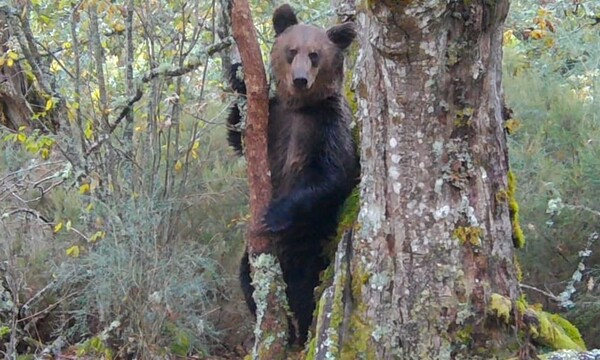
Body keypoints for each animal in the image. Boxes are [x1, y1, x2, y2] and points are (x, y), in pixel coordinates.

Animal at [225, 3, 356, 346]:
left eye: (315, 55)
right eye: (291, 50)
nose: (299, 79)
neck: (300, 108)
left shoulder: (328, 126)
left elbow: (332, 176)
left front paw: (274, 213)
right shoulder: (274, 119)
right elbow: (237, 135)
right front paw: (238, 77)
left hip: (312, 244)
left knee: (305, 289)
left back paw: (299, 333)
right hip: (254, 258)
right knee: (246, 278)